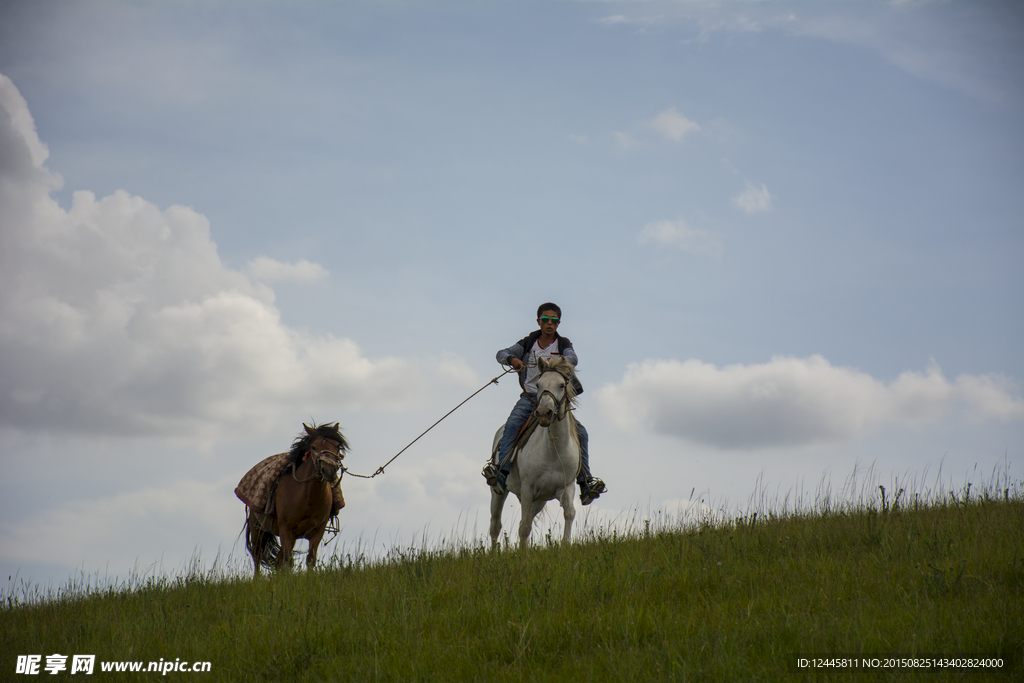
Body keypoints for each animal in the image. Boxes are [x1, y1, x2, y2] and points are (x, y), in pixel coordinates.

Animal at [245, 423, 350, 573]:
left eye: (337, 446)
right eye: (314, 447)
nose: (329, 471)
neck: (306, 499)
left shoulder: (317, 531)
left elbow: (310, 559)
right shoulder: (286, 530)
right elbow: (288, 561)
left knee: (277, 559)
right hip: (258, 529)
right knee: (258, 556)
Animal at [489, 358, 581, 548]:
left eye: (562, 385)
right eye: (538, 384)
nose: (544, 412)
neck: (554, 451)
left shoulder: (566, 487)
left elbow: (569, 513)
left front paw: (565, 545)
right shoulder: (527, 489)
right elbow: (524, 527)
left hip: (539, 500)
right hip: (498, 493)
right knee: (495, 525)